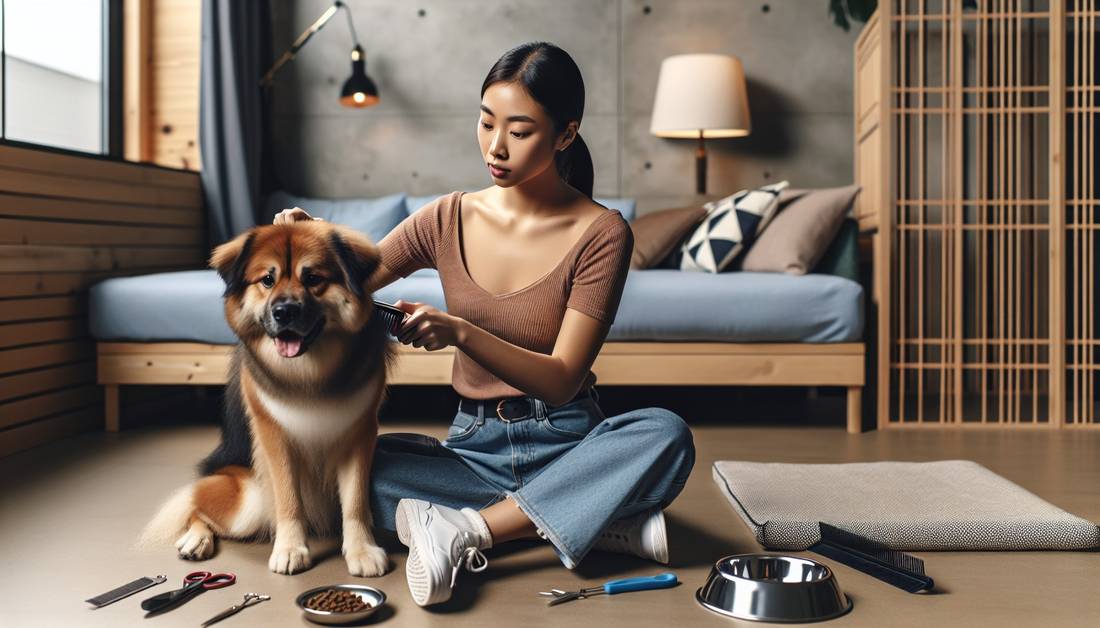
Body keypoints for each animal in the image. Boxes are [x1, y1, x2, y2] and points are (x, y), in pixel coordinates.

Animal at [136, 219, 396, 576]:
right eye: (267, 280)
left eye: (312, 278)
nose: (284, 312)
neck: (311, 373)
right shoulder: (275, 437)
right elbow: (289, 499)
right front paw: (290, 549)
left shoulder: (359, 435)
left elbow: (355, 502)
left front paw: (362, 550)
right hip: (247, 500)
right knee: (197, 507)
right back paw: (196, 539)